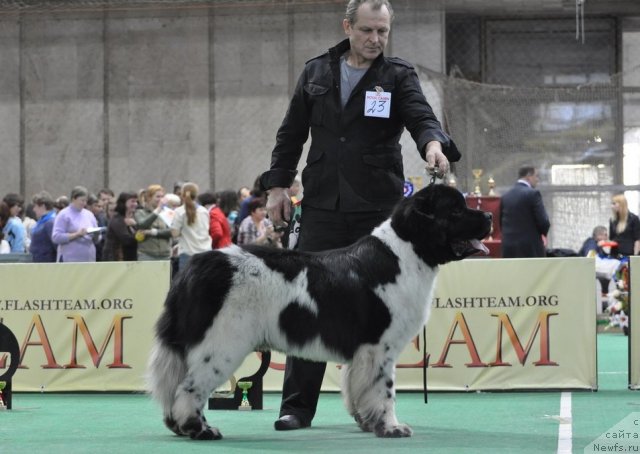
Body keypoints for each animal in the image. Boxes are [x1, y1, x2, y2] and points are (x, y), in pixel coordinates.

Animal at [148, 184, 492, 440]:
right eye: (456, 210)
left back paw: (179, 427)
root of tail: (196, 265)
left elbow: (357, 388)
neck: (407, 252)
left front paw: (368, 422)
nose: (489, 214)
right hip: (222, 343)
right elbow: (384, 389)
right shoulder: (379, 346)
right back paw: (200, 429)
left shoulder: (362, 352)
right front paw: (391, 427)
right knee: (189, 388)